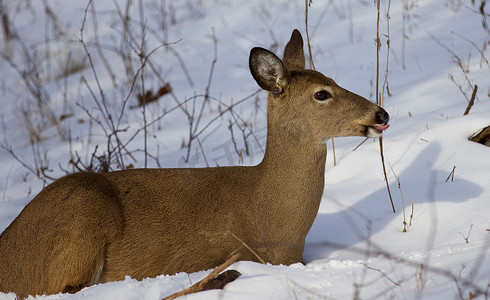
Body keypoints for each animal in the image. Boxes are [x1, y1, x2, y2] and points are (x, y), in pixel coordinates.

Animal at [0, 28, 390, 298]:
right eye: (322, 94)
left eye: (333, 80)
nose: (381, 113)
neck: (273, 215)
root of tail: (8, 253)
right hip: (81, 216)